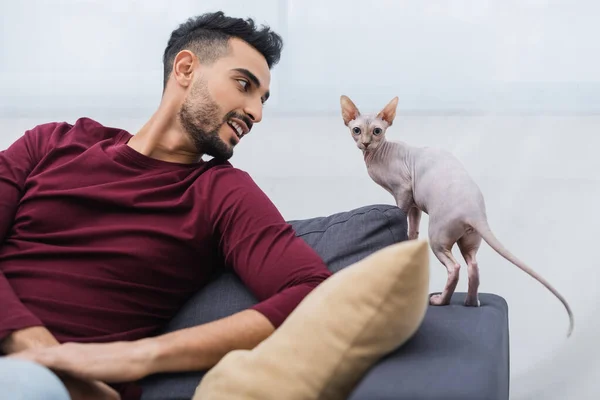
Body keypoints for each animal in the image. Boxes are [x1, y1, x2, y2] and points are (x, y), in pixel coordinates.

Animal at [340, 94, 576, 338]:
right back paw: (472, 302)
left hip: (438, 236)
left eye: (377, 131)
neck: (377, 155)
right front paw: (409, 241)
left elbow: (401, 213)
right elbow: (413, 228)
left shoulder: (403, 190)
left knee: (455, 268)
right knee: (473, 266)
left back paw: (440, 301)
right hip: (470, 239)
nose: (365, 143)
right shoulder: (415, 202)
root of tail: (475, 212)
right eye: (357, 130)